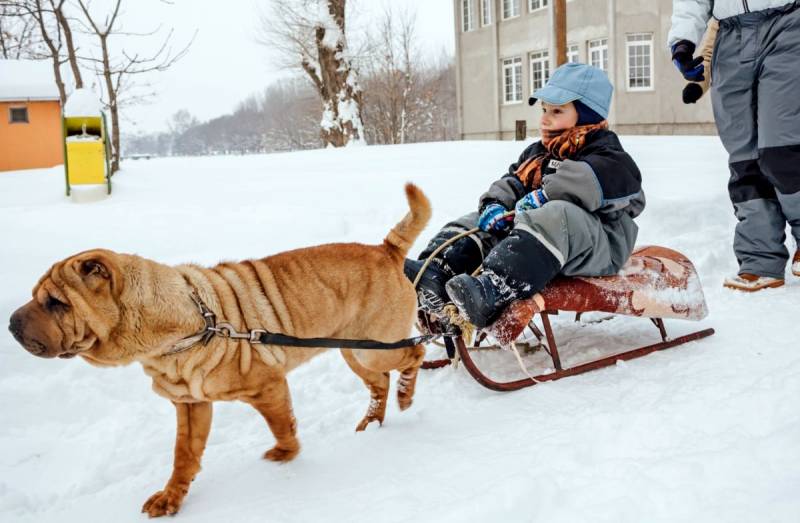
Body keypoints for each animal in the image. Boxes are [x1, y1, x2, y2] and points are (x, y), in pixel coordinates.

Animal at [7, 184, 432, 520]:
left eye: (55, 303)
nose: (10, 324)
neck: (183, 325)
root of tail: (386, 250)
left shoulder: (267, 388)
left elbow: (283, 425)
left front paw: (286, 454)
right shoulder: (191, 404)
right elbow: (184, 454)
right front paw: (170, 498)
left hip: (376, 348)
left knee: (415, 354)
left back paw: (407, 396)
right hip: (353, 352)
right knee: (379, 383)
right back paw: (372, 422)